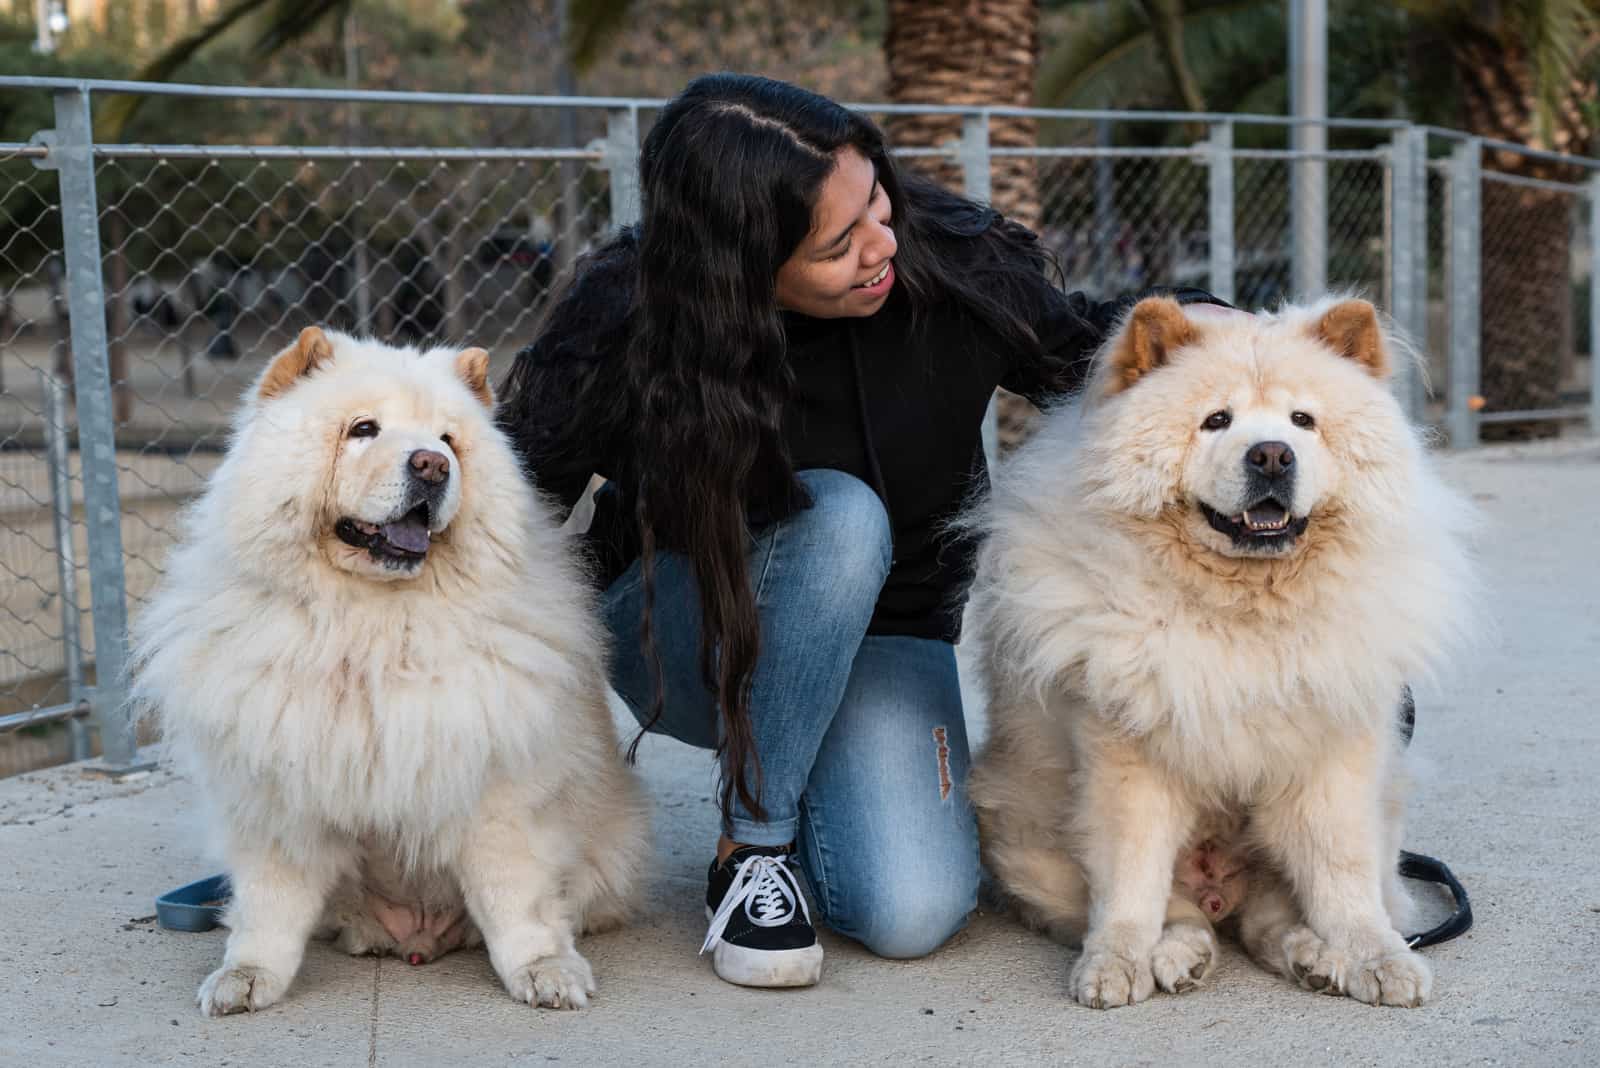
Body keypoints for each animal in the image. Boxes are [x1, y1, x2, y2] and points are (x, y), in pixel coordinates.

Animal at [128, 329, 646, 1016]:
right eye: (363, 429)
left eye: (449, 439)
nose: (432, 465)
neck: (369, 620)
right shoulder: (278, 793)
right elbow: (269, 903)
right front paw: (246, 976)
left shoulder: (498, 791)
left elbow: (516, 896)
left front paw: (544, 971)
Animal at [960, 298, 1472, 1010]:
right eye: (1216, 421)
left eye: (1303, 421)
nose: (1272, 455)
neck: (1244, 606)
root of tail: (1217, 891)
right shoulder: (1127, 757)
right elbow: (1130, 879)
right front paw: (1114, 964)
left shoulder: (1333, 753)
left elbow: (1343, 875)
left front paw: (1377, 957)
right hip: (1023, 829)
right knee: (1180, 912)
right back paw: (1180, 954)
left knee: (1269, 917)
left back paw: (1313, 956)